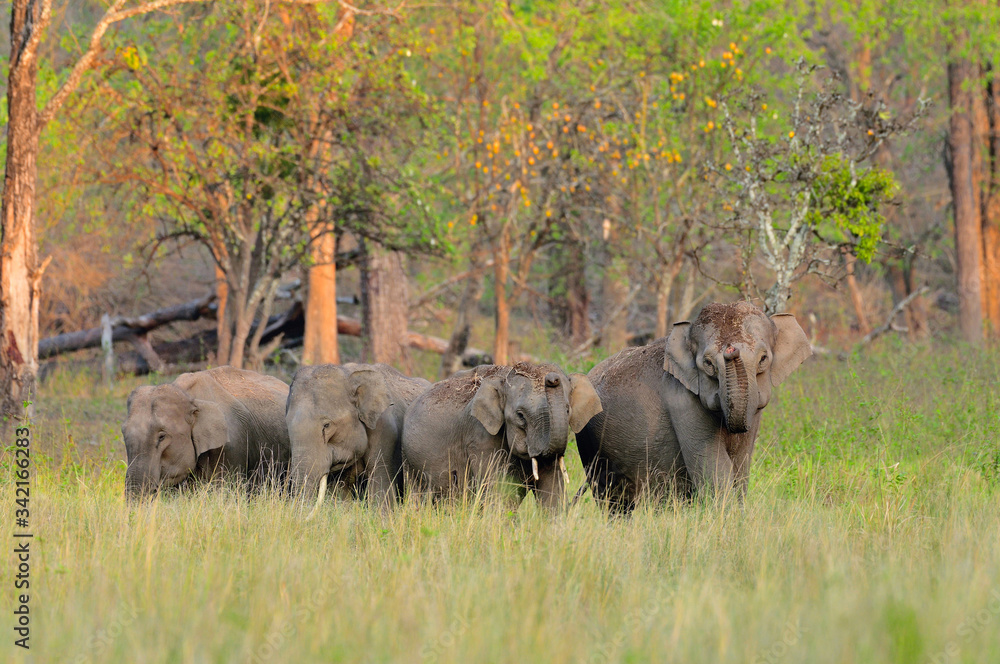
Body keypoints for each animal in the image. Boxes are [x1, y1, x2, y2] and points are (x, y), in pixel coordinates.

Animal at [285, 363, 430, 514]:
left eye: (326, 425)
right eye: (287, 425)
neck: (349, 374)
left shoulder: (386, 431)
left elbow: (380, 485)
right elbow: (342, 492)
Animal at [401, 362, 603, 510]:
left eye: (568, 410)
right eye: (520, 415)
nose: (552, 379)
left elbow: (552, 490)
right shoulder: (480, 437)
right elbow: (499, 492)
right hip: (410, 462)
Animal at [576, 301, 811, 513]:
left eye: (763, 359)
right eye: (708, 363)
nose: (731, 349)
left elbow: (740, 465)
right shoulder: (682, 401)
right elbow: (714, 469)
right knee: (611, 499)